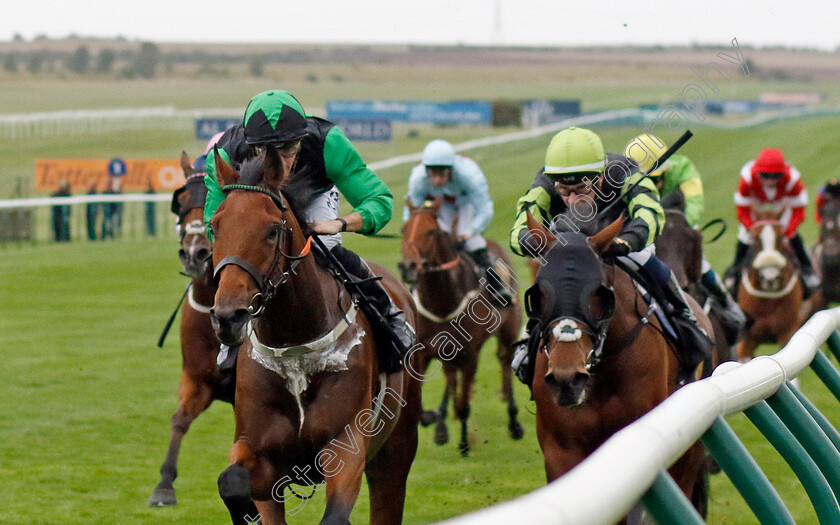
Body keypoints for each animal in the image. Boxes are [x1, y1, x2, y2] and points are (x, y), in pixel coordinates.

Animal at [208, 146, 420, 524]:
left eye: (272, 230)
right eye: (215, 226)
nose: (228, 317)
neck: (292, 345)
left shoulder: (346, 445)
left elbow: (335, 515)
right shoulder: (258, 450)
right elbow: (232, 483)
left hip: (396, 447)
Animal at [398, 196, 520, 454]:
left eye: (431, 231)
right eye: (403, 229)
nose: (407, 266)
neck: (442, 301)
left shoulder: (470, 354)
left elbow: (465, 403)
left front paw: (464, 444)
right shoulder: (423, 352)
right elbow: (420, 404)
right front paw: (435, 420)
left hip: (509, 331)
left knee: (505, 361)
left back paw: (514, 422)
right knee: (452, 375)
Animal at [740, 218, 824, 360]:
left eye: (780, 238)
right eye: (756, 240)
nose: (770, 277)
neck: (767, 300)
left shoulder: (787, 333)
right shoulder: (747, 340)